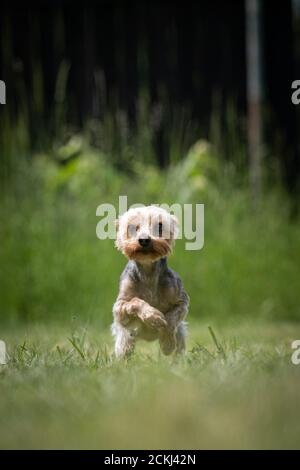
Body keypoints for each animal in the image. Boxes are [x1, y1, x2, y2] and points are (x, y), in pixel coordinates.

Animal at [111, 205, 189, 356]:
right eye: (132, 227)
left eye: (160, 226)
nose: (144, 240)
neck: (148, 273)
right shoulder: (120, 307)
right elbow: (135, 301)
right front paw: (153, 316)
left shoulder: (181, 300)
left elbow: (172, 318)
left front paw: (167, 343)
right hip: (125, 338)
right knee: (124, 347)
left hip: (181, 334)